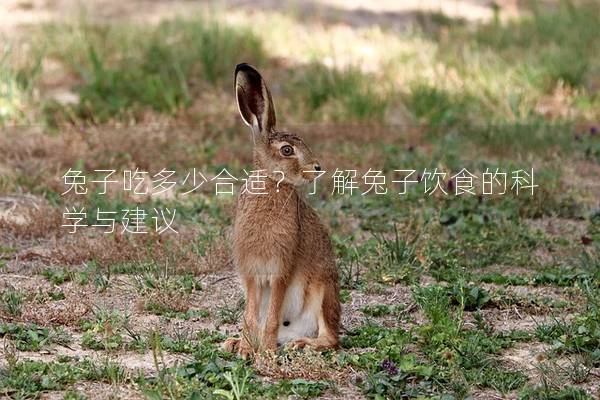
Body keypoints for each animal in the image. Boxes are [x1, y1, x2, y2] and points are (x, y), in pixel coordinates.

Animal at [223, 64, 340, 358]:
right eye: (287, 150)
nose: (317, 168)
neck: (270, 182)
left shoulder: (281, 270)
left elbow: (272, 316)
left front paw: (263, 353)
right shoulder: (252, 273)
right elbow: (251, 315)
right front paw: (246, 350)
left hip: (323, 292)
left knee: (332, 338)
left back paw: (301, 344)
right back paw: (236, 343)